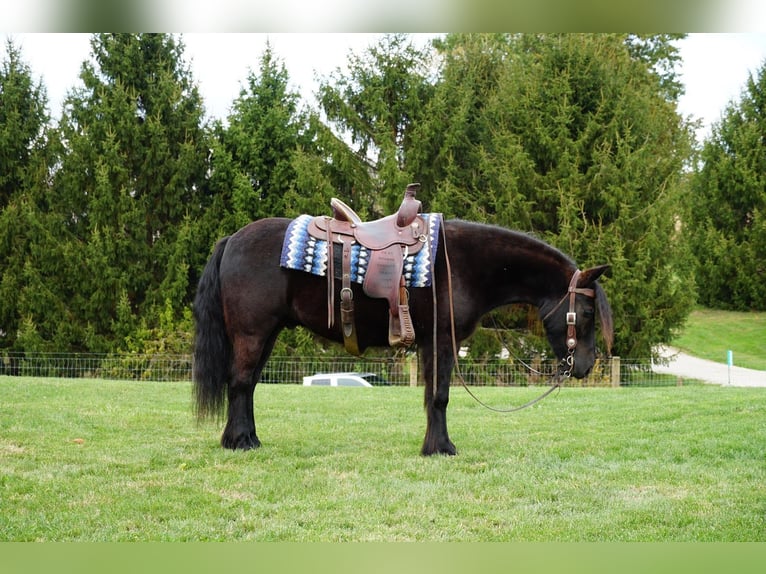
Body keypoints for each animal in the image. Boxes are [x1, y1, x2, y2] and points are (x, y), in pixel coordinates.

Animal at [192, 216, 613, 456]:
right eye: (587, 312)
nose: (585, 366)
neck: (462, 265)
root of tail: (231, 239)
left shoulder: (431, 344)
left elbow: (430, 397)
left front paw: (433, 444)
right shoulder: (442, 341)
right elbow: (440, 396)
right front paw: (441, 448)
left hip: (267, 334)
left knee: (246, 386)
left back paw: (245, 439)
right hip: (253, 332)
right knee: (240, 383)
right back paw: (240, 442)